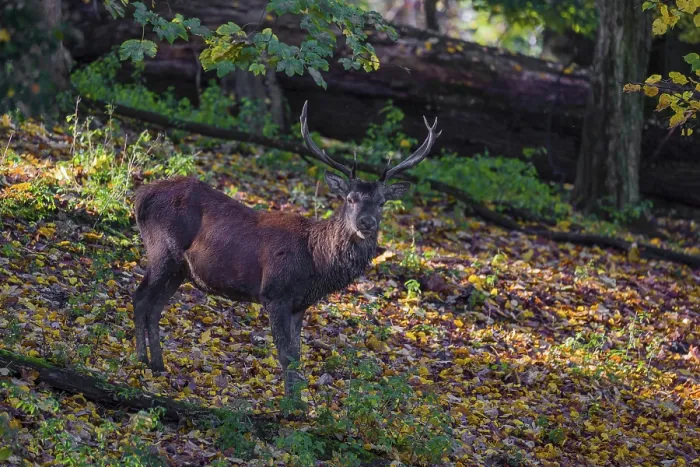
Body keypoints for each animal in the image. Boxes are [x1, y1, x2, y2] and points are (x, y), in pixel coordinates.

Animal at [131, 101, 441, 395]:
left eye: (382, 202)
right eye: (350, 198)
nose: (366, 222)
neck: (315, 262)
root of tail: (140, 196)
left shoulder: (299, 305)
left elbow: (297, 355)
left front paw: (300, 405)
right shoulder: (275, 293)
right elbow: (285, 356)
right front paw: (289, 407)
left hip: (181, 270)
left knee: (155, 307)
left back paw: (158, 364)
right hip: (162, 249)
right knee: (140, 297)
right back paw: (141, 361)